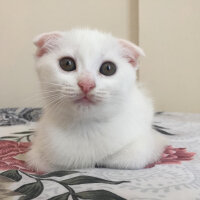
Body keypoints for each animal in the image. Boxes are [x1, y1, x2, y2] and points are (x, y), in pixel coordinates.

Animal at [27, 28, 167, 172]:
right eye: (67, 63)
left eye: (108, 68)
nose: (86, 84)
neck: (86, 127)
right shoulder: (39, 155)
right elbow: (51, 164)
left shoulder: (149, 143)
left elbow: (127, 158)